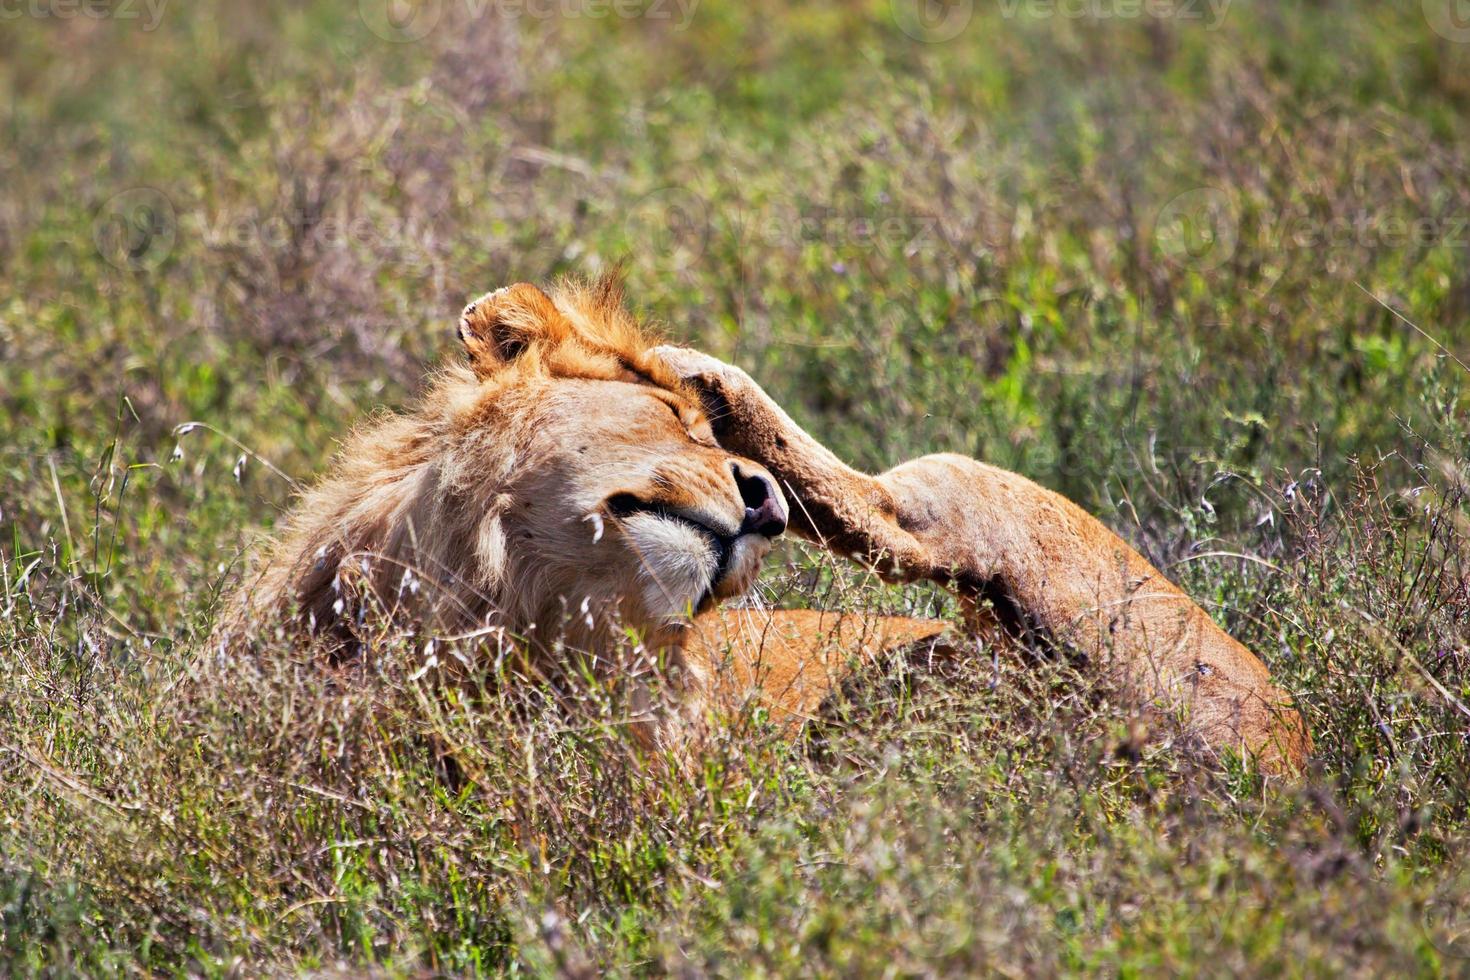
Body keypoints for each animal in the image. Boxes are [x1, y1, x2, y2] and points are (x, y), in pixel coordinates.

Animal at [235, 276, 1317, 775]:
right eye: (665, 426)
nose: (759, 501)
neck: (495, 619)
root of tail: (1300, 753)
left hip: (1010, 536)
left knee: (906, 513)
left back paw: (713, 373)